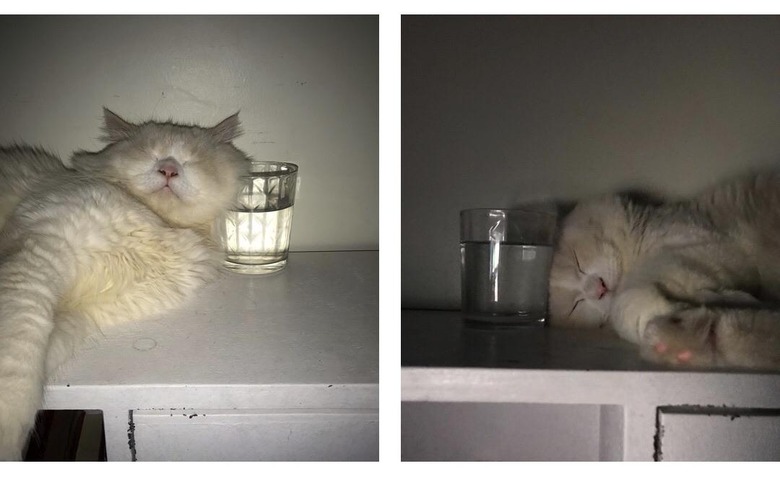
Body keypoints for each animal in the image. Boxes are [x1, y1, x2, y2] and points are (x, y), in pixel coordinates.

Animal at [0, 109, 248, 462]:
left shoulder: (79, 315)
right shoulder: (38, 257)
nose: (168, 169)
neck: (157, 222)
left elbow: (37, 363)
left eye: (191, 158)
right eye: (151, 153)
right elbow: (18, 356)